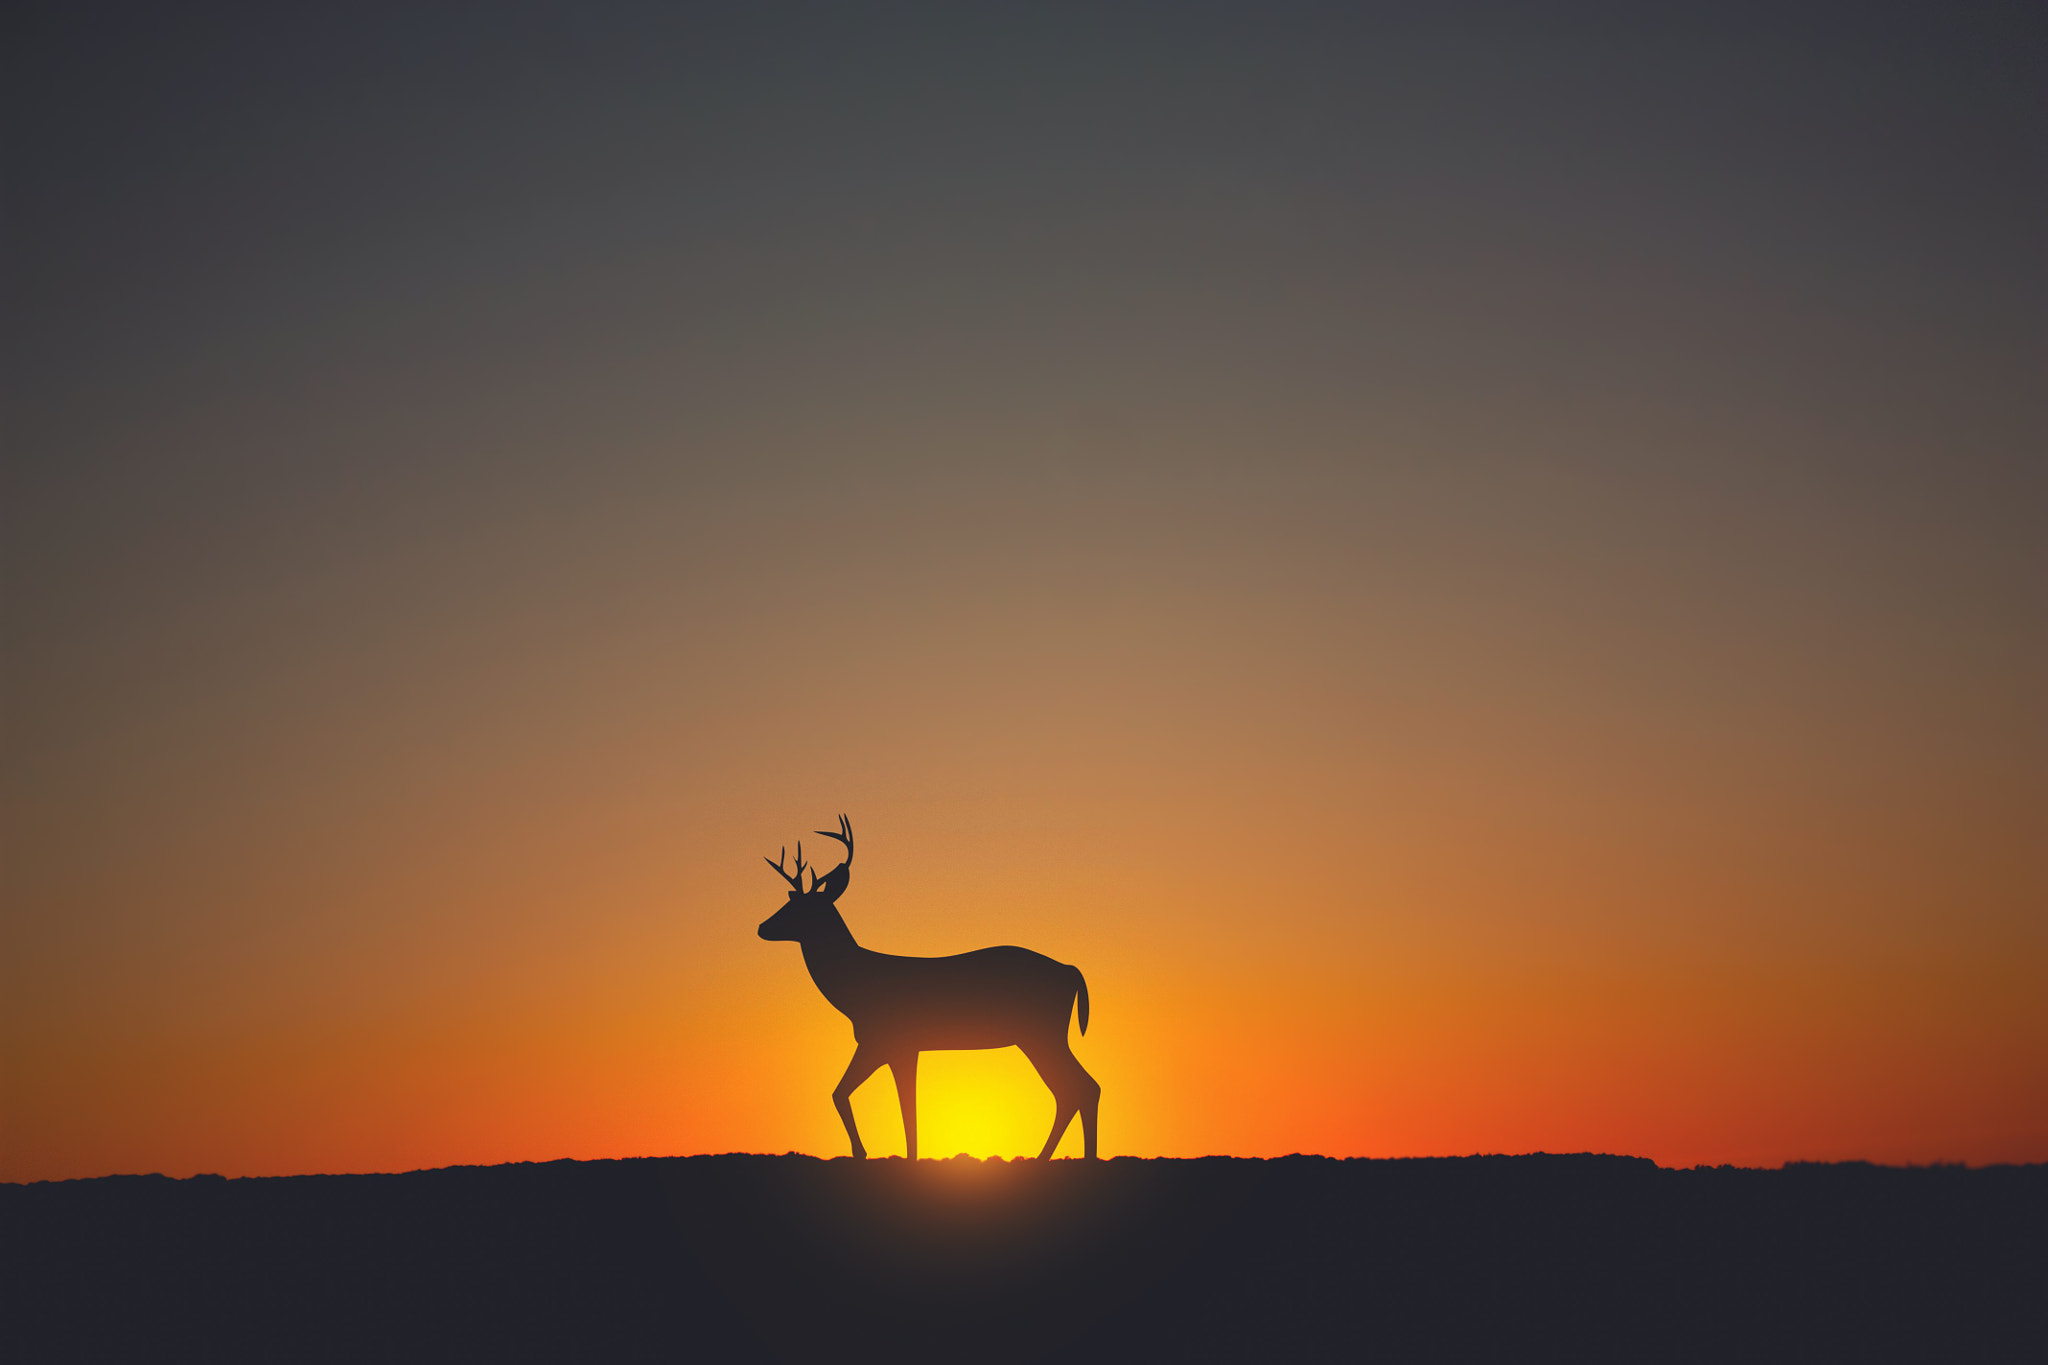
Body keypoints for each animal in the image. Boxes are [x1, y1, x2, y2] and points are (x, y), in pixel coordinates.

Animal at [757, 816, 1099, 1161]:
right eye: (789, 901)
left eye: (802, 908)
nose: (761, 926)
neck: (854, 991)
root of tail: (1070, 971)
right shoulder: (892, 1046)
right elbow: (884, 1102)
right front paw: (891, 1154)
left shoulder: (890, 1042)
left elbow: (882, 1103)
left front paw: (867, 1152)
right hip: (1043, 1035)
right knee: (1079, 1088)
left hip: (1042, 1033)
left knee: (1079, 1087)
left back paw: (1059, 1157)